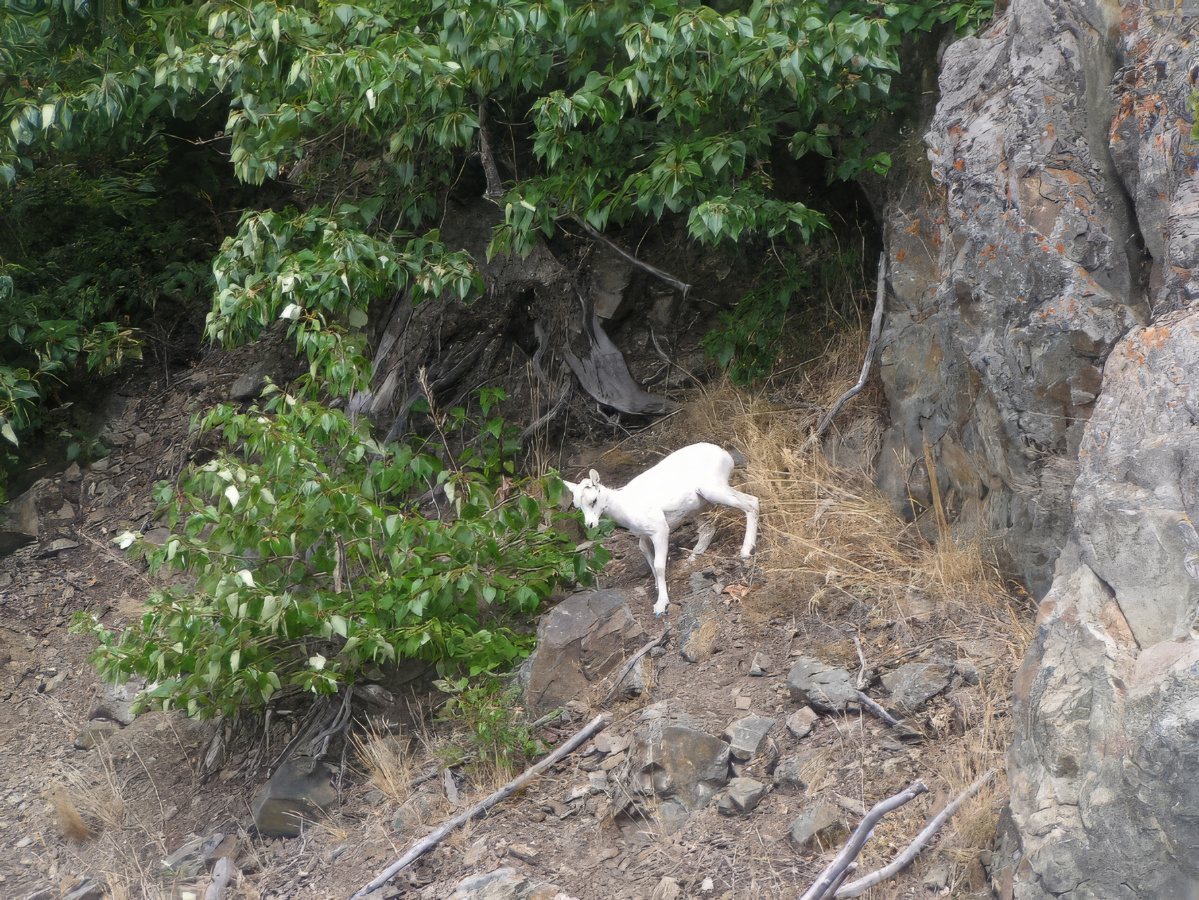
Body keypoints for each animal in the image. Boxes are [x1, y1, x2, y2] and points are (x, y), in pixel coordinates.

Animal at [563, 445, 757, 618]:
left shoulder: (660, 531)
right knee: (709, 528)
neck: (625, 506)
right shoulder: (643, 538)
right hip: (699, 506)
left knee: (751, 502)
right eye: (578, 506)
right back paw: (692, 559)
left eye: (594, 500)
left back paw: (746, 552)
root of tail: (724, 454)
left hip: (714, 491)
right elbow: (651, 563)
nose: (590, 524)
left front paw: (660, 605)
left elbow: (659, 566)